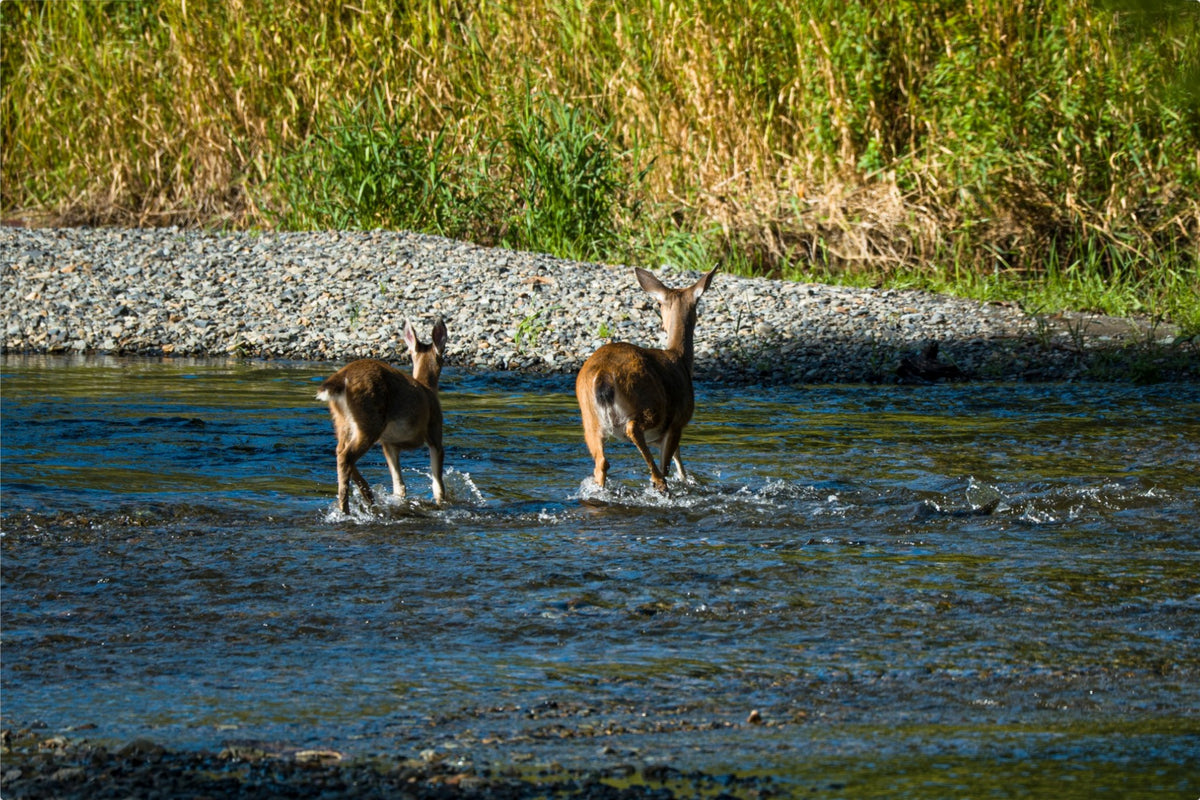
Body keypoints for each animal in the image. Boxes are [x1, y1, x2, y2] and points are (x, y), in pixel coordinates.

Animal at [316, 319, 448, 513]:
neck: (427, 388)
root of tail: (341, 380)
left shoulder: (389, 443)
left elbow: (399, 486)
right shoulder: (435, 433)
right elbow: (438, 485)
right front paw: (441, 504)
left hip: (342, 421)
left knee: (339, 451)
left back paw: (367, 496)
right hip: (370, 420)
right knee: (346, 456)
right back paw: (346, 508)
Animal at [575, 265, 718, 494]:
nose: (662, 325)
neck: (680, 360)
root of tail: (603, 374)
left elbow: (679, 460)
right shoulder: (677, 422)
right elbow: (671, 461)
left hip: (589, 417)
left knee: (600, 462)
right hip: (649, 404)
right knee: (633, 431)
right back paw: (658, 481)